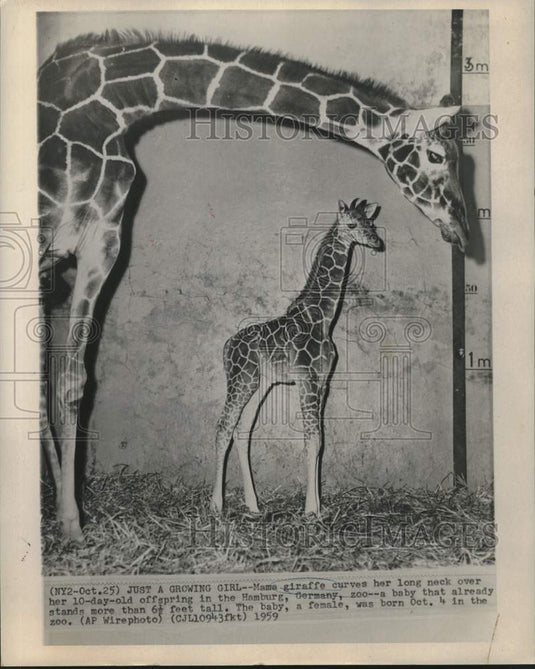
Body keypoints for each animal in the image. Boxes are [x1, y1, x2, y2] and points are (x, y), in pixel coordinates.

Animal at [211, 197, 383, 516]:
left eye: (371, 223)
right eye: (351, 224)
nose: (377, 242)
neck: (323, 318)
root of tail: (227, 347)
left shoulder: (323, 381)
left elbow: (319, 440)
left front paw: (318, 506)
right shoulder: (306, 378)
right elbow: (311, 438)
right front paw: (310, 509)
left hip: (259, 383)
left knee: (242, 431)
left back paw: (254, 506)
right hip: (241, 379)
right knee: (223, 427)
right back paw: (216, 504)